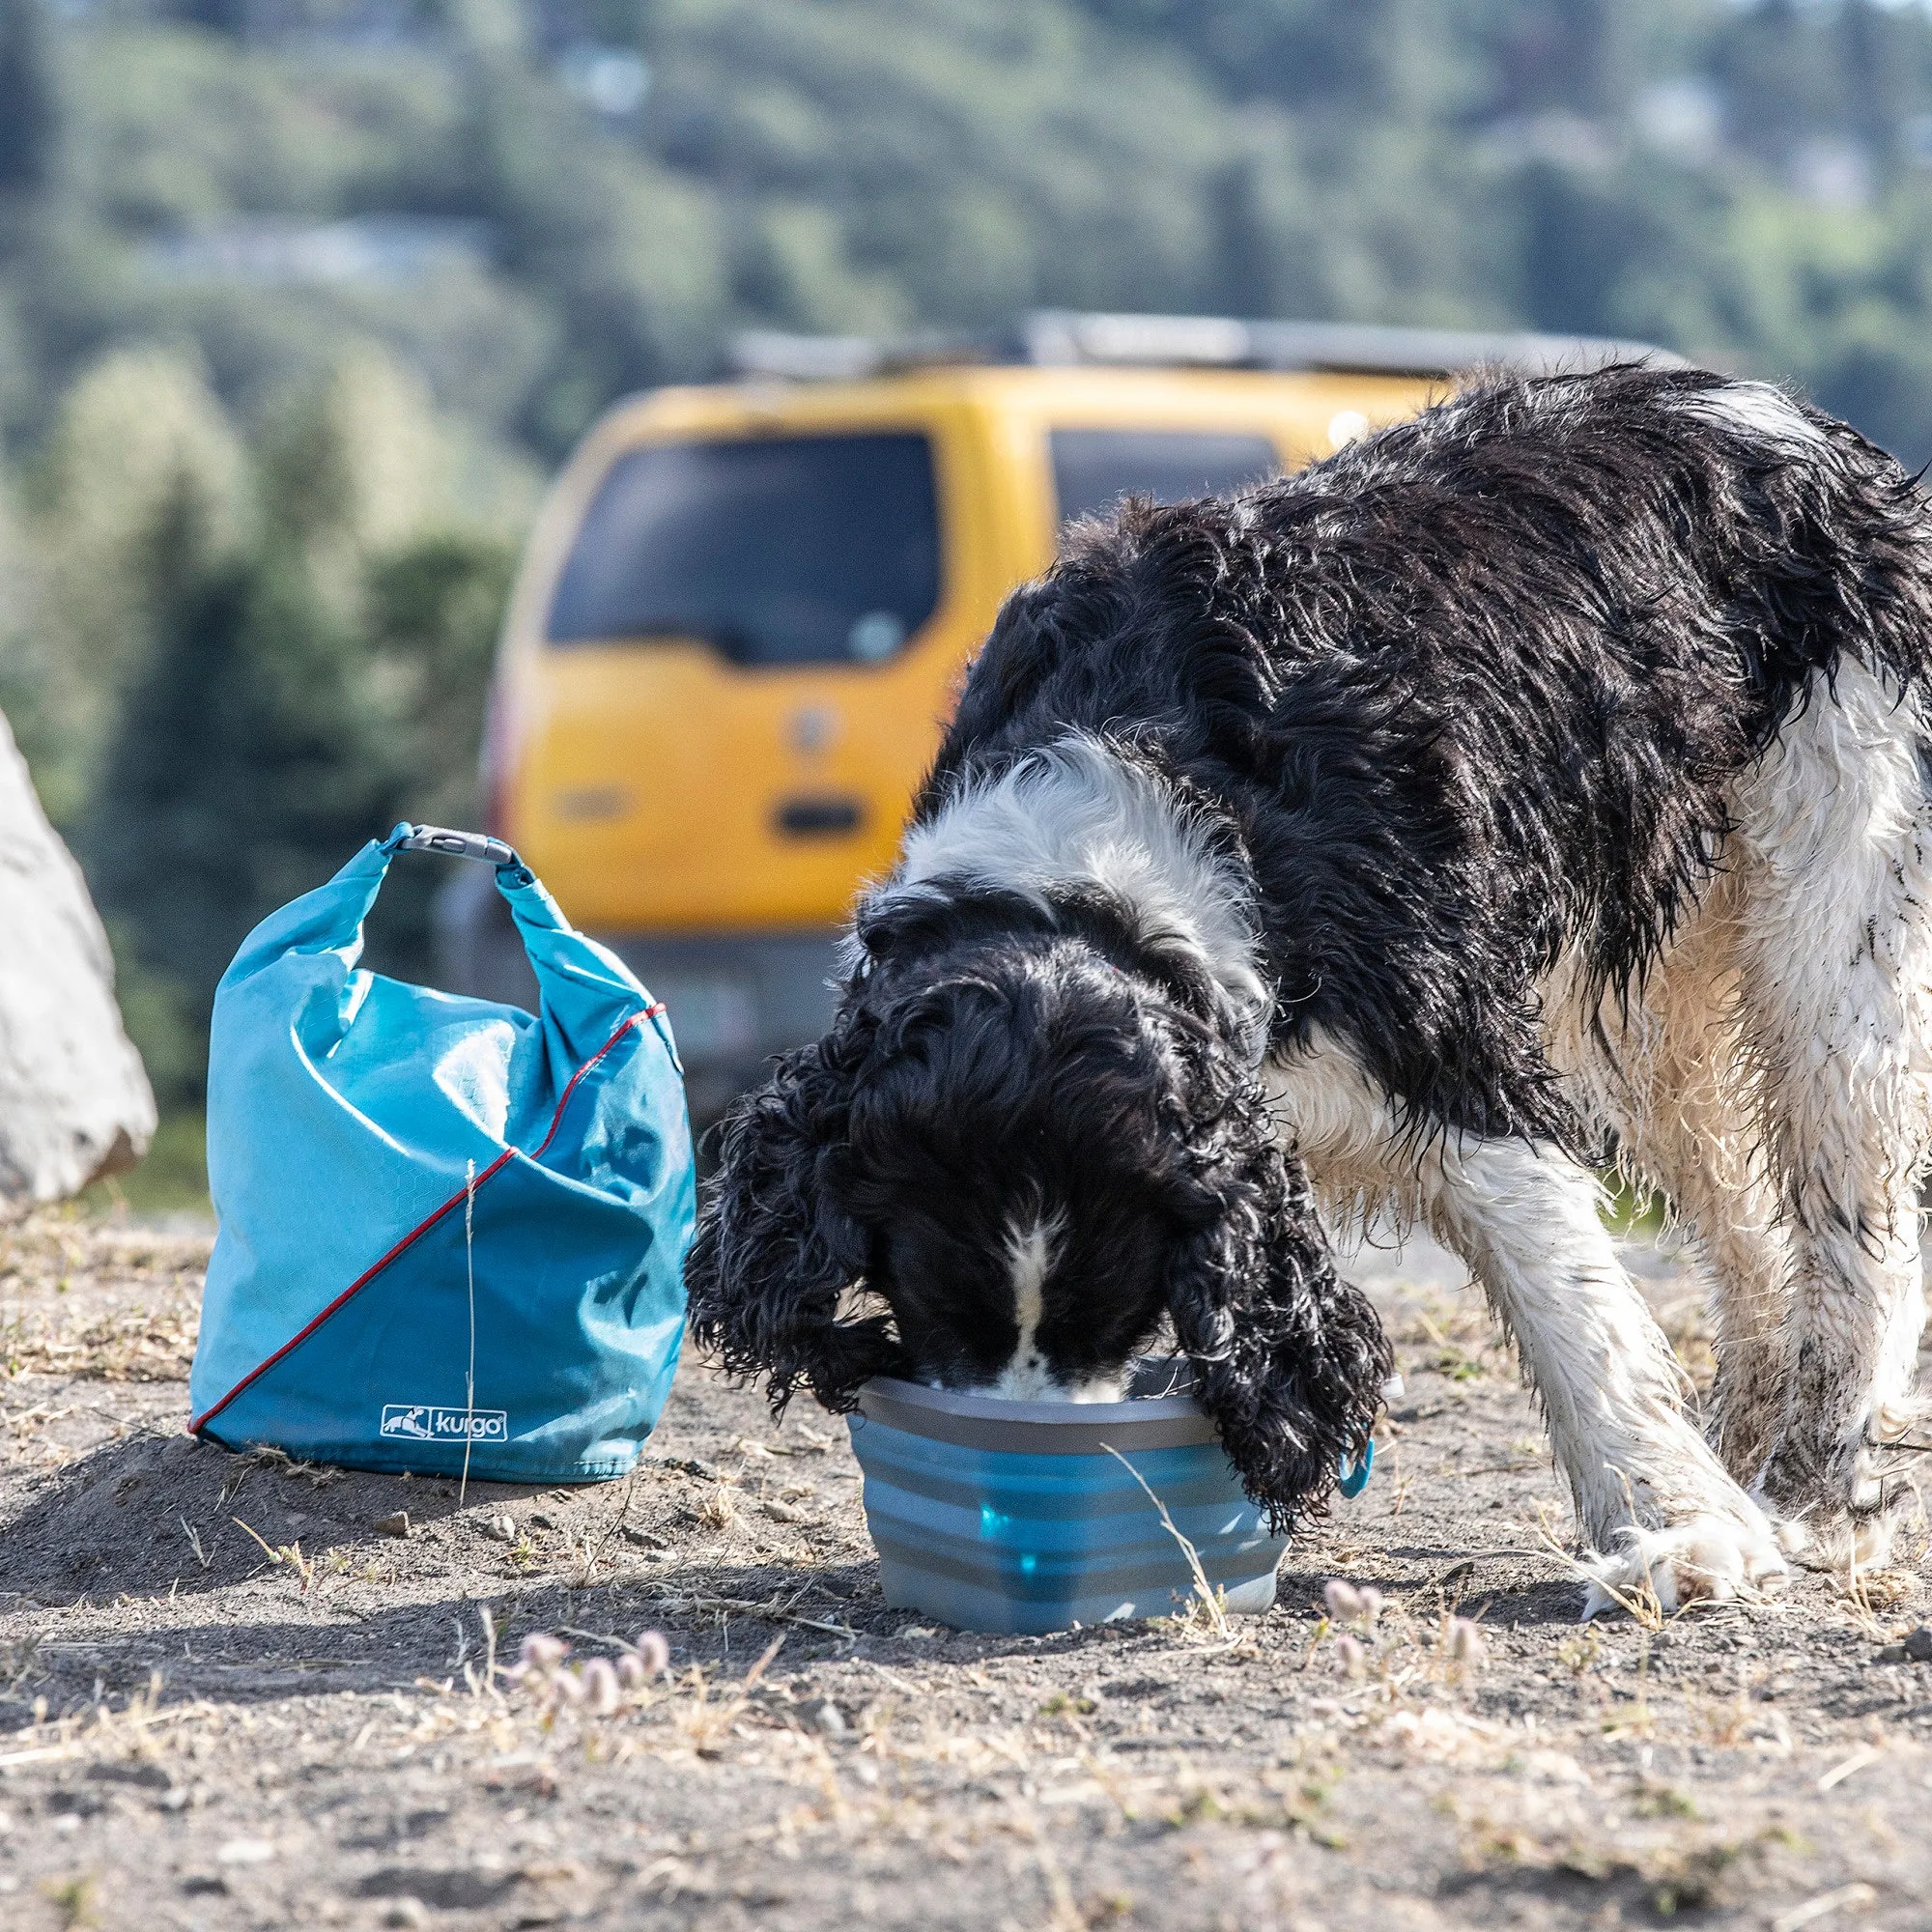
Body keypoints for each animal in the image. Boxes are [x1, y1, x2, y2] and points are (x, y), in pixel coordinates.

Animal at [684, 363, 1932, 1615]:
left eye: (1114, 1311)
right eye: (938, 1315)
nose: (1021, 1467)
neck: (1098, 863)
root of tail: (1780, 413)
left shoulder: (1451, 1057)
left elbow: (1571, 1303)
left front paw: (1675, 1531)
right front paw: (1696, 1503)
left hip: (1830, 902)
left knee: (1856, 1209)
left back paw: (1820, 1477)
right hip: (1647, 1000)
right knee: (1744, 1215)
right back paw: (1755, 1441)